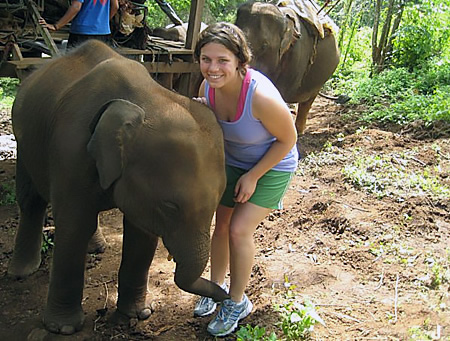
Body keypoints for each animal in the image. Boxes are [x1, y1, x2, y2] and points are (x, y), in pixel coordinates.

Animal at [8, 40, 229, 334]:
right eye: (170, 206)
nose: (226, 296)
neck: (146, 100)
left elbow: (141, 235)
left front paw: (138, 315)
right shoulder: (69, 150)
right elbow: (74, 226)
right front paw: (62, 328)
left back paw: (96, 249)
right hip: (23, 137)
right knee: (31, 199)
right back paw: (20, 273)